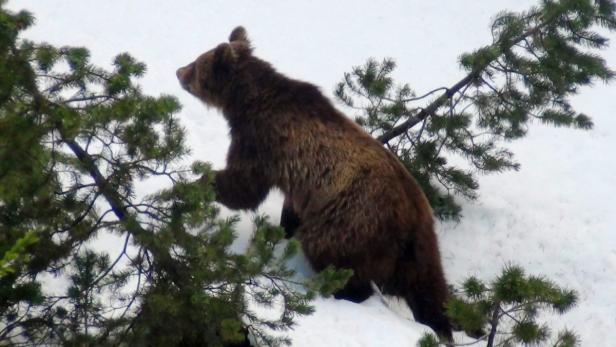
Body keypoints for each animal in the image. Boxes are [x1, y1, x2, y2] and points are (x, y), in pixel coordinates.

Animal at [177, 27, 452, 342]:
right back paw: (440, 325)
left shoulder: (262, 141)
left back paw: (340, 292)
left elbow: (243, 187)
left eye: (197, 63)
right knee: (430, 288)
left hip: (351, 220)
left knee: (334, 256)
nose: (179, 71)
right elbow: (286, 207)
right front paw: (282, 230)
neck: (247, 101)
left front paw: (194, 183)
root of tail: (411, 215)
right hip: (420, 246)